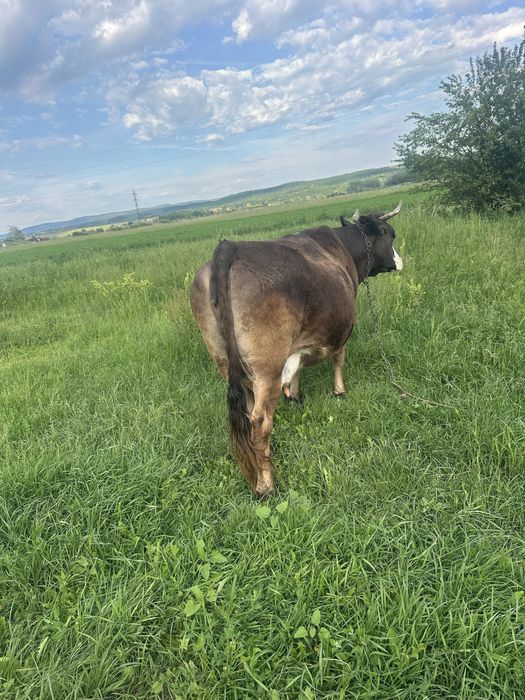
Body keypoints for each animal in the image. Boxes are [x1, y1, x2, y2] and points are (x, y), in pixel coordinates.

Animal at [190, 202, 403, 497]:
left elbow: (299, 366)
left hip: (223, 359)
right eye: (390, 233)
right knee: (260, 422)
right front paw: (340, 391)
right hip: (267, 367)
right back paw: (266, 485)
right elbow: (338, 358)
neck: (344, 250)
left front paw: (295, 395)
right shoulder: (343, 327)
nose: (399, 261)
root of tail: (230, 248)